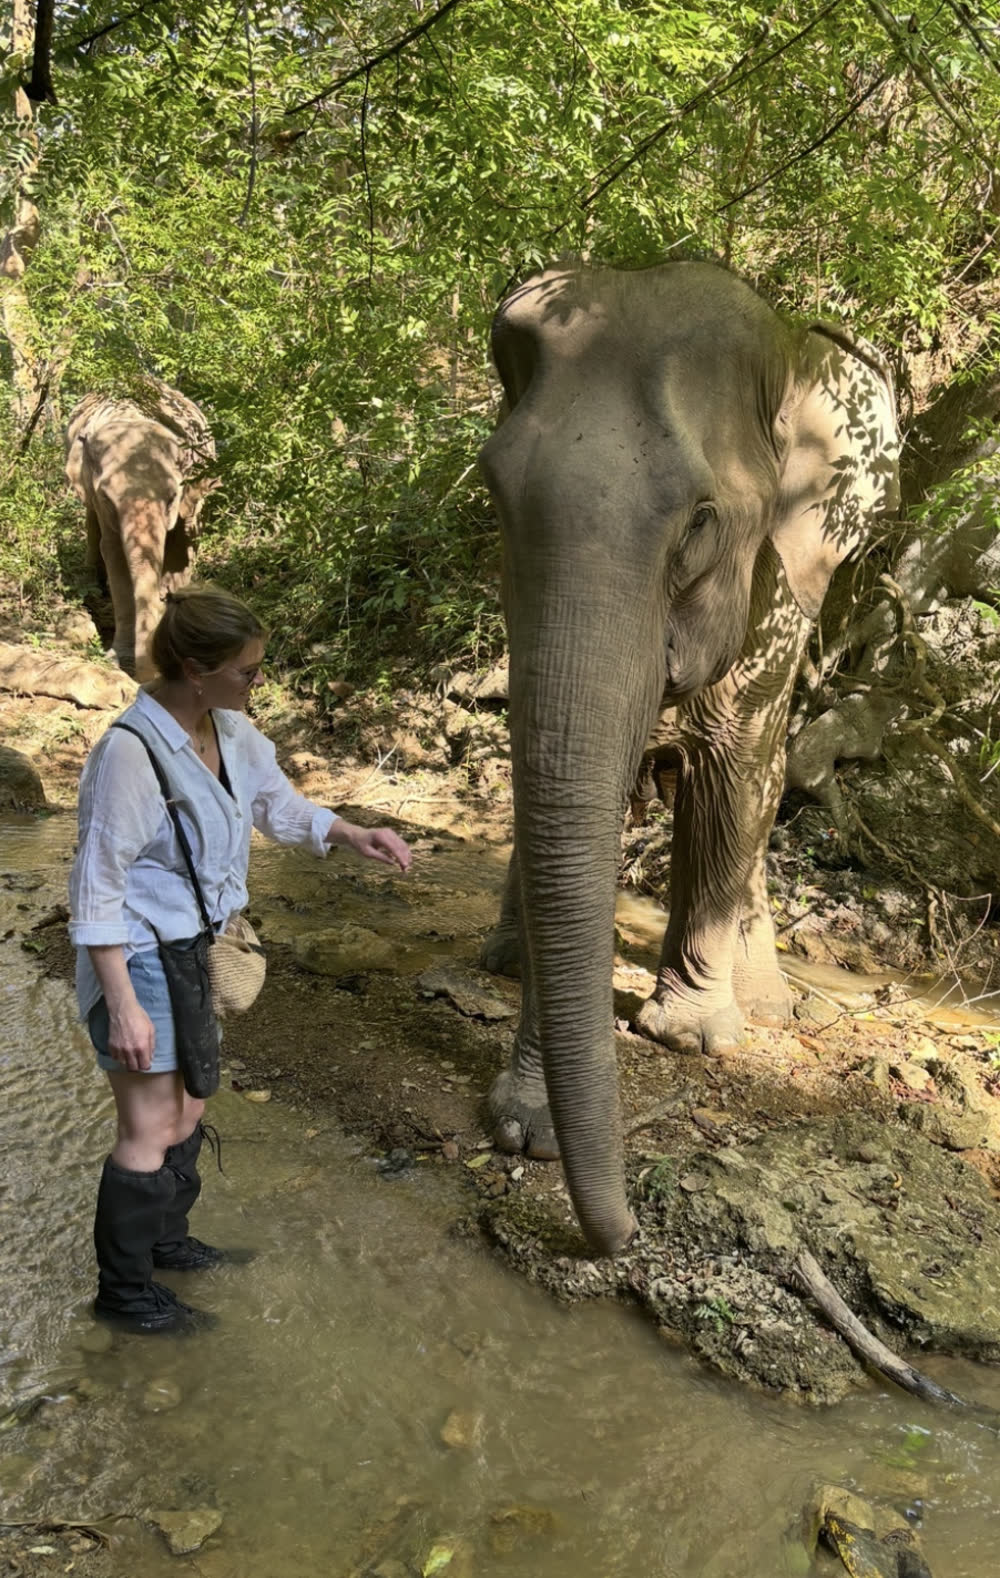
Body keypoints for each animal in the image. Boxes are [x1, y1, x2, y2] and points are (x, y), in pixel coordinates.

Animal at [65, 381, 217, 682]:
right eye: (107, 498)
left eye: (171, 497)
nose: (152, 675)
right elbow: (115, 556)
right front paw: (120, 660)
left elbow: (183, 545)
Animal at [476, 260, 899, 1257]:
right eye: (495, 497)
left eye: (700, 521)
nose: (622, 1230)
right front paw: (522, 1125)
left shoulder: (779, 577)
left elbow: (732, 757)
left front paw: (691, 1037)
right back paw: (502, 960)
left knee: (761, 775)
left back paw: (762, 1006)